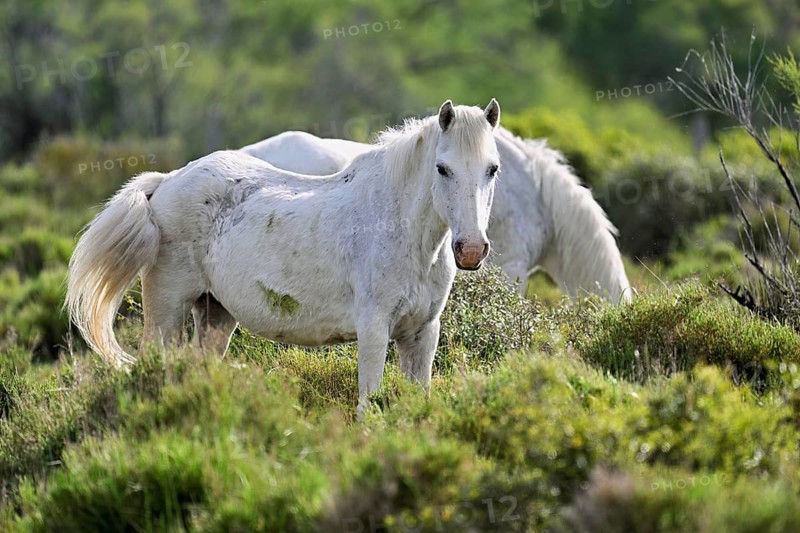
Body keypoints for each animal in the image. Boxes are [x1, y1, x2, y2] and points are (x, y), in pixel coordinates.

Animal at [67, 99, 502, 415]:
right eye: (442, 169)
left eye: (493, 169)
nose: (471, 249)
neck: (400, 232)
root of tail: (166, 182)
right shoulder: (374, 331)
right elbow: (368, 405)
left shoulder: (422, 334)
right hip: (166, 311)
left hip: (215, 313)